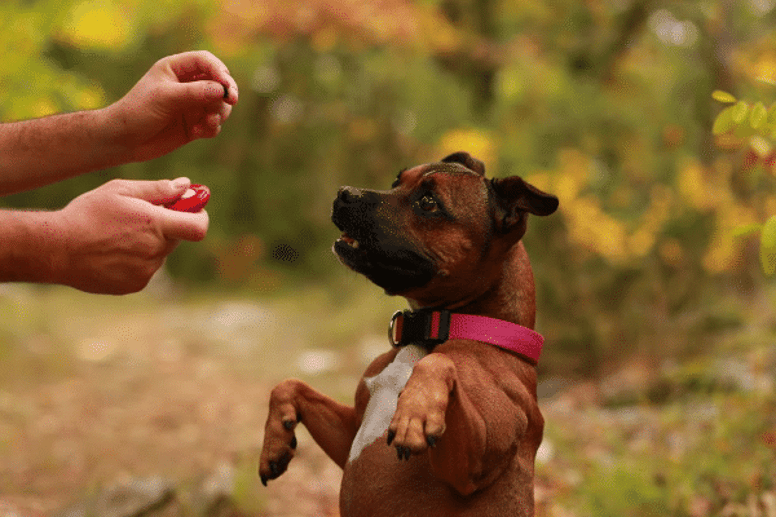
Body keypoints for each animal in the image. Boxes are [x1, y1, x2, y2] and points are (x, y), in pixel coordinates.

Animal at [260, 153, 556, 516]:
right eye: (396, 181)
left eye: (428, 203)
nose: (345, 193)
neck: (434, 327)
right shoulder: (350, 432)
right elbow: (289, 385)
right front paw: (275, 440)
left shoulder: (472, 466)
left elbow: (439, 363)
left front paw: (415, 411)